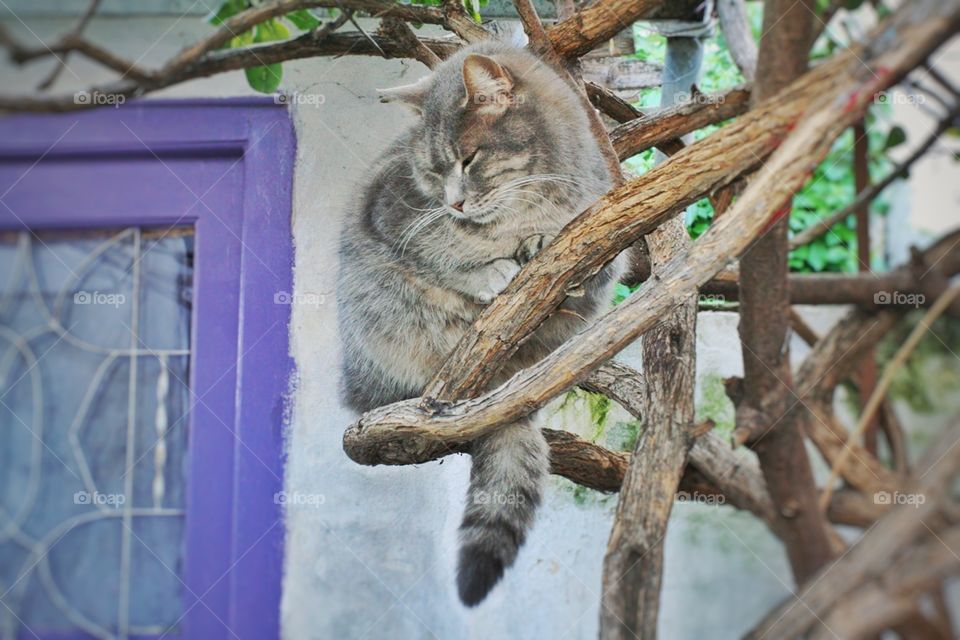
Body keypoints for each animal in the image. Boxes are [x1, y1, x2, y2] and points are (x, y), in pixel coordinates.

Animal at [338, 41, 624, 604]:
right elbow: (447, 251)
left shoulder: (604, 239)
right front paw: (490, 266)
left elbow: (582, 263)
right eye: (432, 172)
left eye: (468, 159)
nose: (454, 201)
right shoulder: (391, 215)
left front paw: (537, 243)